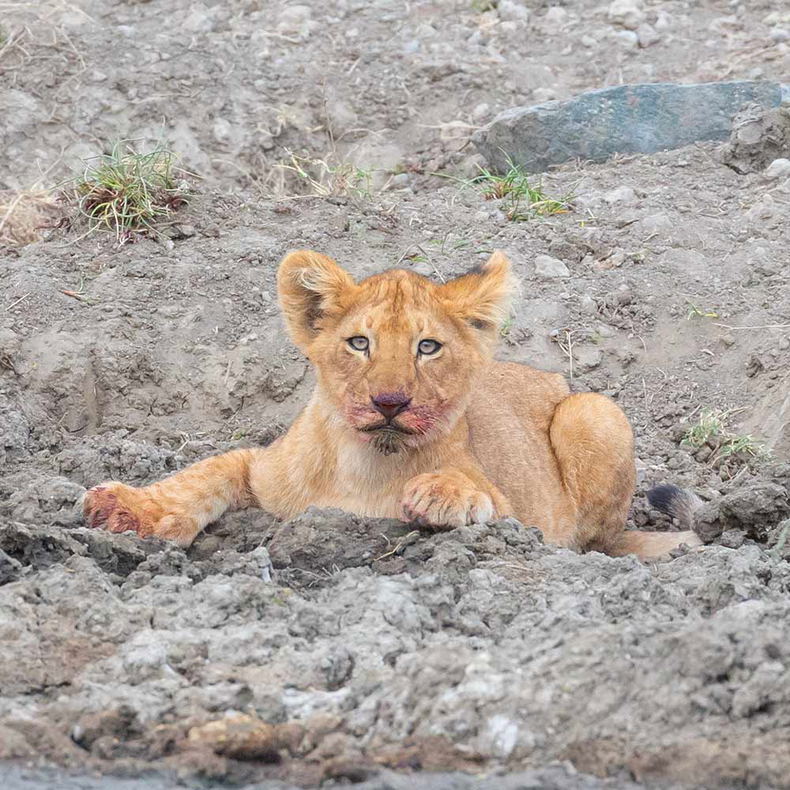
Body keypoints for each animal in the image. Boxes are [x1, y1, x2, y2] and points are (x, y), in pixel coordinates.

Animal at [82, 249, 701, 560]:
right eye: (360, 343)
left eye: (427, 347)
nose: (389, 401)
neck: (366, 460)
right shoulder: (260, 467)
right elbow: (200, 474)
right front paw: (128, 510)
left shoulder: (519, 514)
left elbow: (484, 497)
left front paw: (441, 494)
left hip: (593, 412)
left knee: (599, 542)